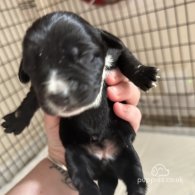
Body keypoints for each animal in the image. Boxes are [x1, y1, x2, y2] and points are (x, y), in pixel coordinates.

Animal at [1, 12, 158, 195]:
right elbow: (30, 100)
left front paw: (144, 74)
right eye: (32, 67)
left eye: (85, 56)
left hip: (127, 153)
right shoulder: (38, 90)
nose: (59, 94)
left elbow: (127, 59)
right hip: (74, 157)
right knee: (85, 181)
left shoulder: (116, 50)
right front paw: (16, 121)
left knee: (136, 180)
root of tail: (104, 162)